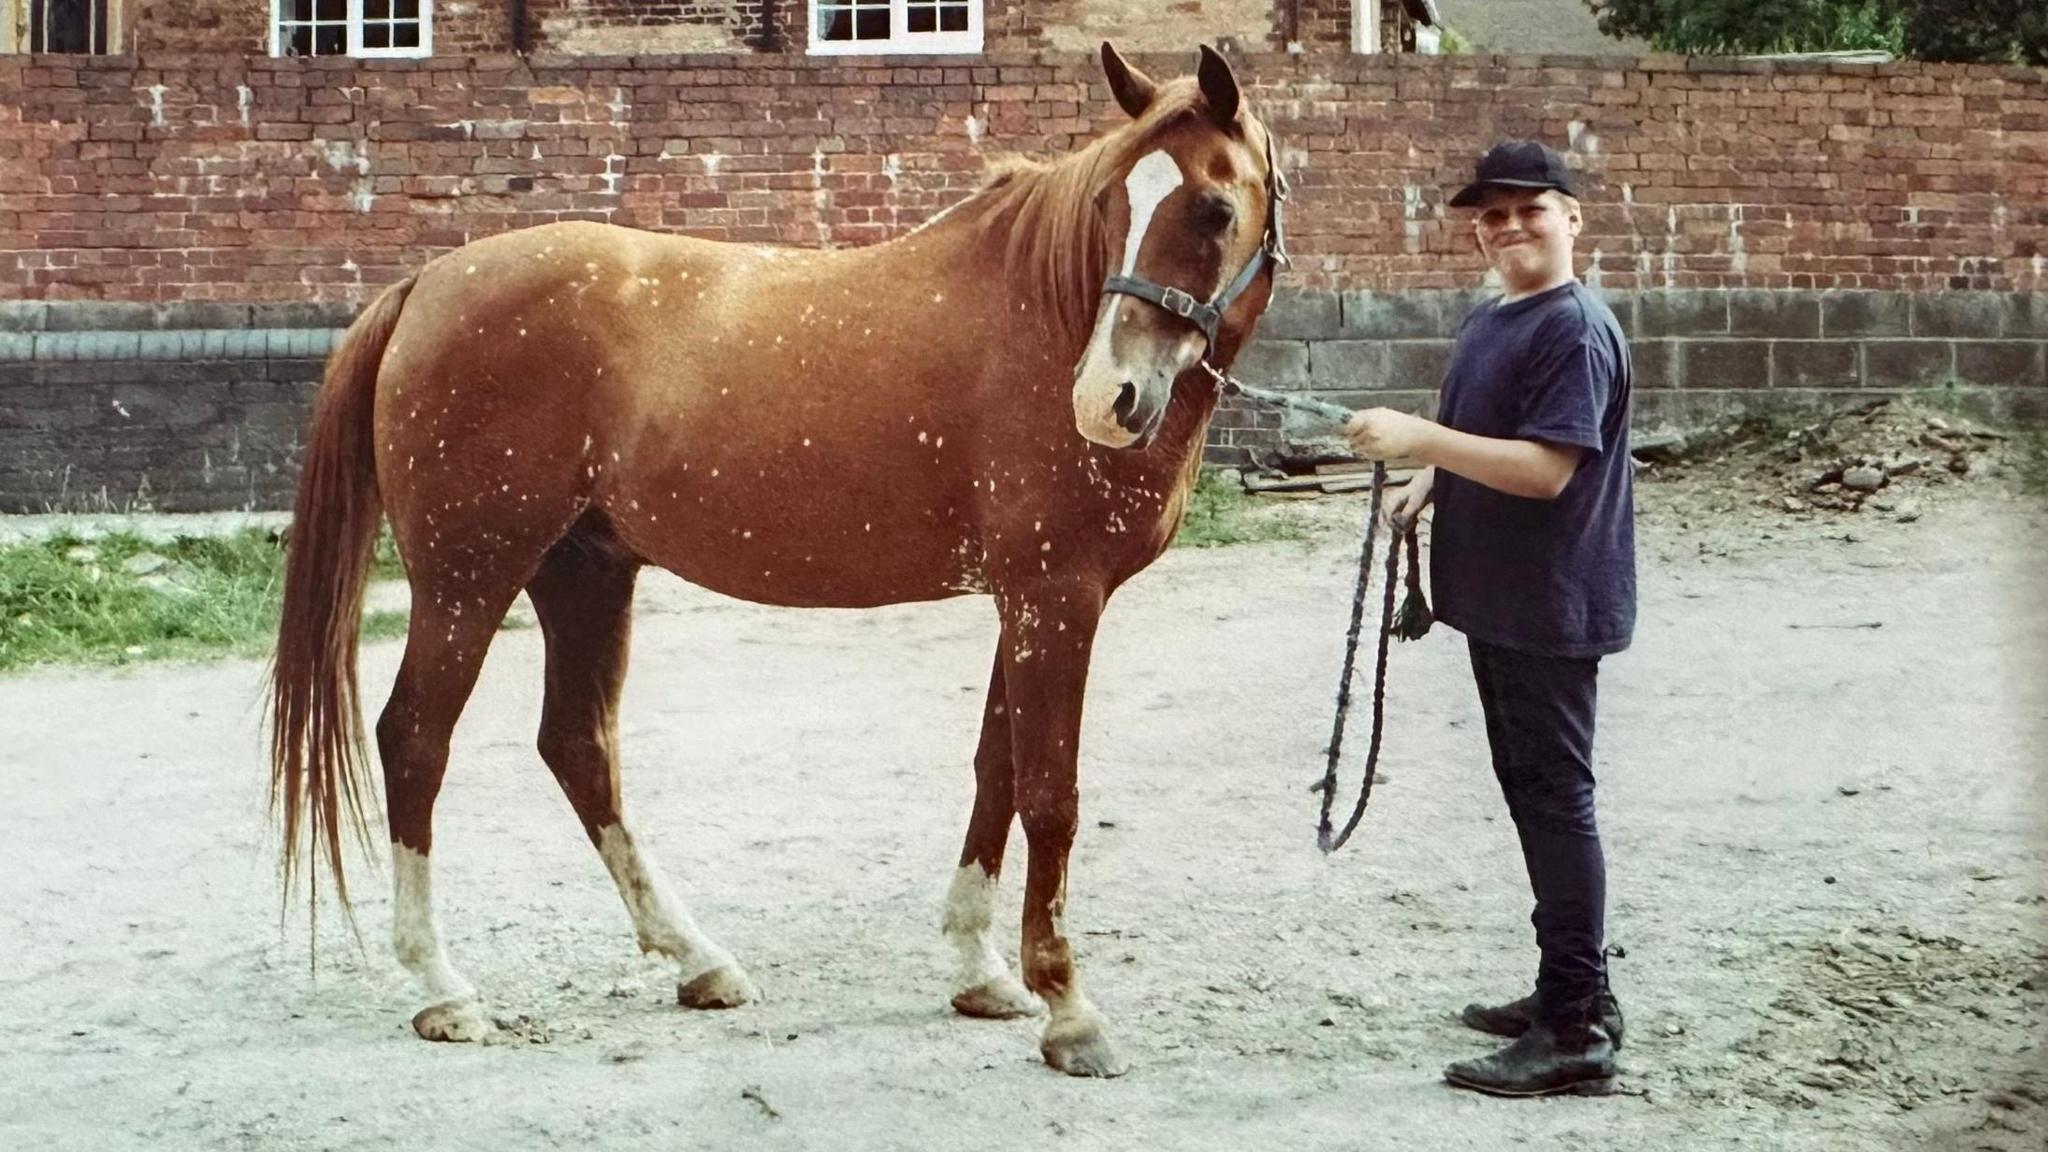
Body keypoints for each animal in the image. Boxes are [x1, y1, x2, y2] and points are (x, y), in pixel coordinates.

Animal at [266, 40, 1286, 1074]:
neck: (1040, 311)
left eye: (1212, 207)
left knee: (578, 746)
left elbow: (995, 771)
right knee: (415, 741)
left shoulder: (1024, 600)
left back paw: (697, 959)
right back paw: (443, 988)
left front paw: (979, 970)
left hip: (582, 574)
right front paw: (1068, 1009)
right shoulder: (1056, 596)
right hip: (468, 580)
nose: (1105, 400)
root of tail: (424, 287)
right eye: (1110, 203)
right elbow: (1049, 794)